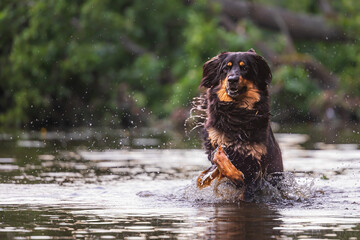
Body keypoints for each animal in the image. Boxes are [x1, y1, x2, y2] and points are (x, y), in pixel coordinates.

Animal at [195, 48, 282, 201]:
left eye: (245, 68)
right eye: (226, 68)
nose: (232, 79)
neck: (237, 113)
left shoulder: (256, 165)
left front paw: (237, 176)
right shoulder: (215, 143)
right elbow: (218, 156)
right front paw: (235, 174)